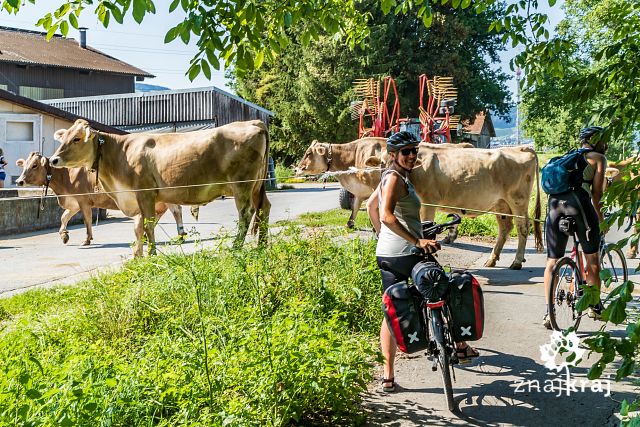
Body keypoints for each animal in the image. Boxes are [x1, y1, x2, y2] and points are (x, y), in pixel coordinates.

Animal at [15, 154, 188, 247]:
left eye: (35, 165)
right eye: (24, 166)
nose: (19, 181)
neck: (66, 178)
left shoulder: (83, 201)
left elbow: (87, 221)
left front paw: (86, 240)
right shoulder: (73, 203)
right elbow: (63, 217)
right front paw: (64, 235)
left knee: (176, 210)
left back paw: (180, 234)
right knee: (157, 215)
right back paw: (147, 236)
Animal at [50, 118, 268, 256]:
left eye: (76, 138)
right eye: (64, 138)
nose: (53, 160)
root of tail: (253, 122)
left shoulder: (144, 193)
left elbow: (147, 225)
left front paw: (152, 254)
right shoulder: (137, 198)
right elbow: (138, 228)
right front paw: (137, 256)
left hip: (241, 184)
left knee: (246, 213)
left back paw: (236, 246)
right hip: (256, 186)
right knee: (263, 208)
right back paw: (262, 245)